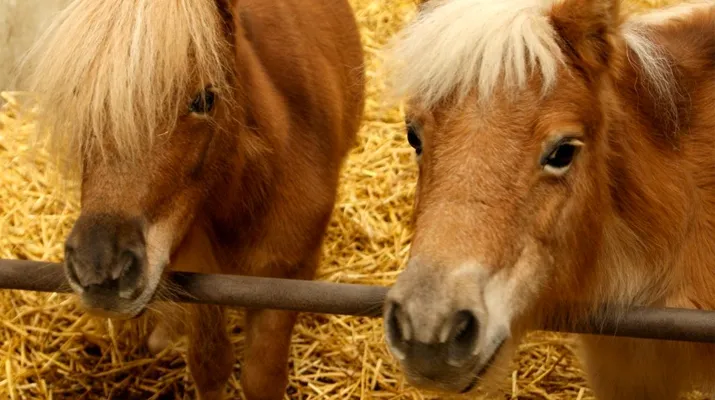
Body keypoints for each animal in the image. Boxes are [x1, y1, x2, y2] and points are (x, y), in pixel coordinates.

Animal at [20, 0, 364, 398]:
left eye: (204, 100)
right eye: (80, 94)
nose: (99, 269)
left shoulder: (285, 279)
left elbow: (261, 378)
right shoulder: (198, 280)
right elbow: (210, 365)